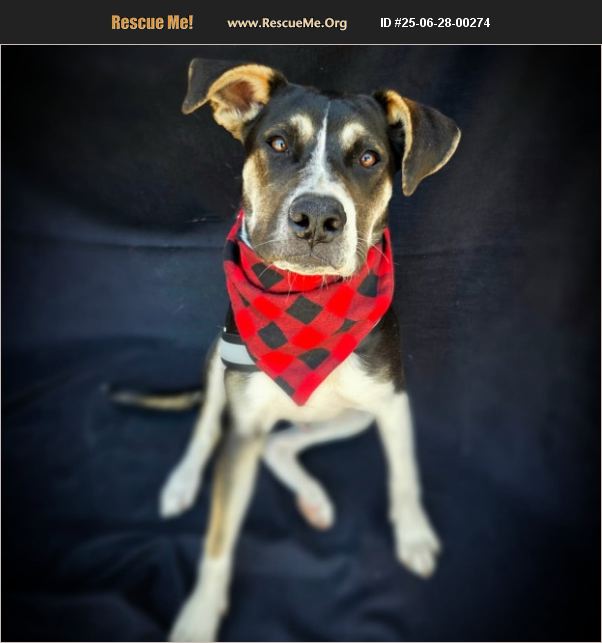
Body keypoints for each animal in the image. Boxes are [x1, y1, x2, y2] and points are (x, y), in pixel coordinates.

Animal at [155, 58, 460, 642]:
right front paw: (198, 617)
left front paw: (413, 536)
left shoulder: (391, 402)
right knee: (207, 429)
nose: (318, 218)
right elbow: (219, 535)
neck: (307, 304)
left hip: (352, 417)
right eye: (276, 143)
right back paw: (181, 482)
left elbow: (405, 473)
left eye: (369, 158)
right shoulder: (243, 423)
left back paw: (314, 498)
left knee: (283, 445)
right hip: (217, 369)